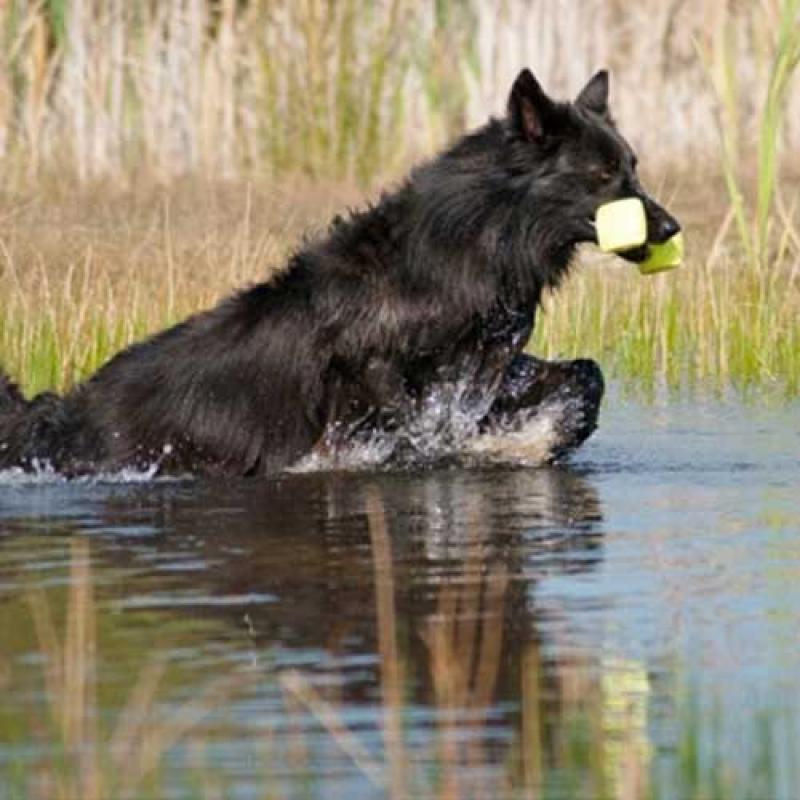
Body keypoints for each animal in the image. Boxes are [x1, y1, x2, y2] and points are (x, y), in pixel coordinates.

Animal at [0, 70, 680, 476]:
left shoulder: (481, 363)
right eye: (602, 176)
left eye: (634, 166)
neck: (477, 238)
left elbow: (585, 374)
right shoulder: (371, 370)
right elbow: (411, 429)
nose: (671, 228)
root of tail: (61, 415)